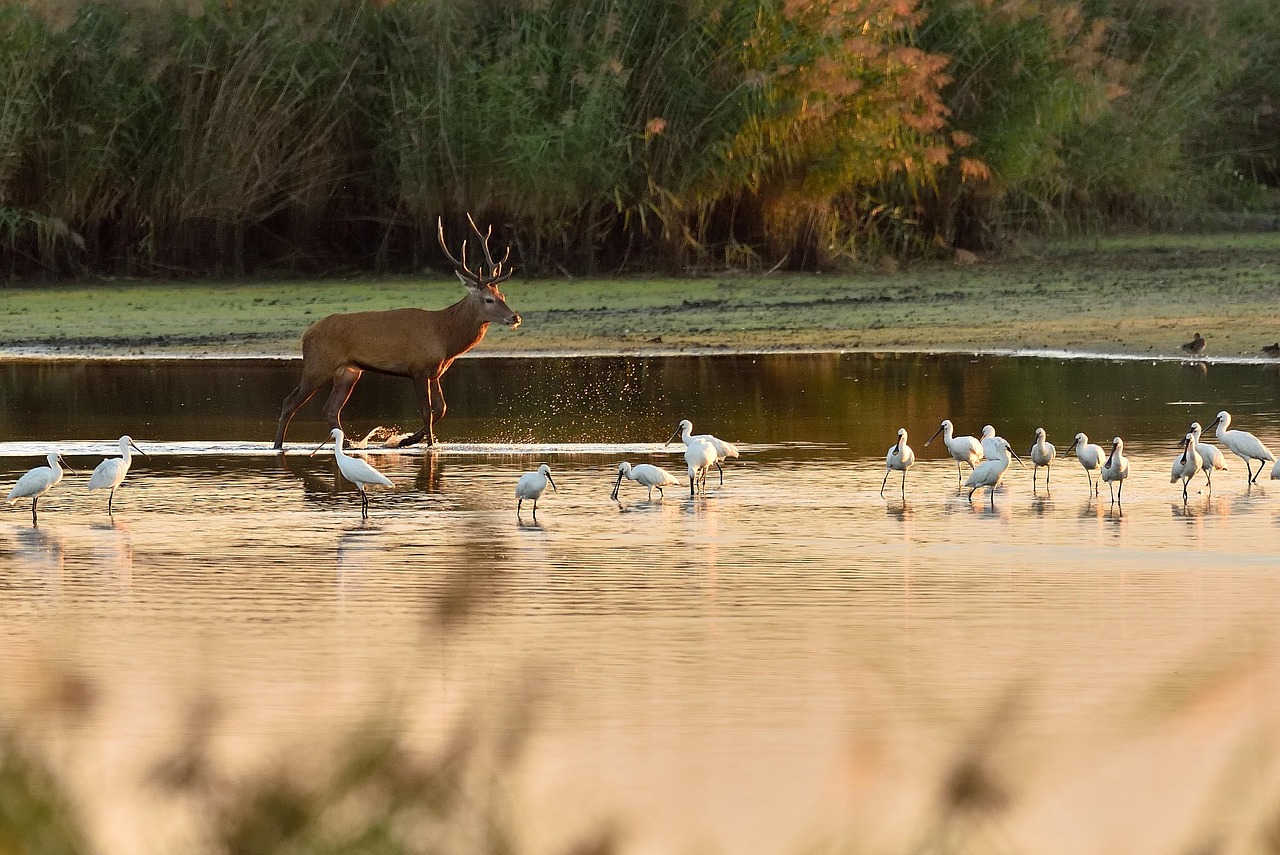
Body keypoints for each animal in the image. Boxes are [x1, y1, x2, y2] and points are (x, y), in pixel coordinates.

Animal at [273, 215, 521, 450]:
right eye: (488, 299)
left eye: (502, 296)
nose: (515, 318)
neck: (445, 336)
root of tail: (306, 334)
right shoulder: (418, 367)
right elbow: (427, 411)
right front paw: (428, 445)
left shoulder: (435, 371)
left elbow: (441, 408)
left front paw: (407, 440)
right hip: (318, 365)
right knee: (289, 402)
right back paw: (277, 445)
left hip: (348, 371)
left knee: (330, 409)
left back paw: (349, 443)